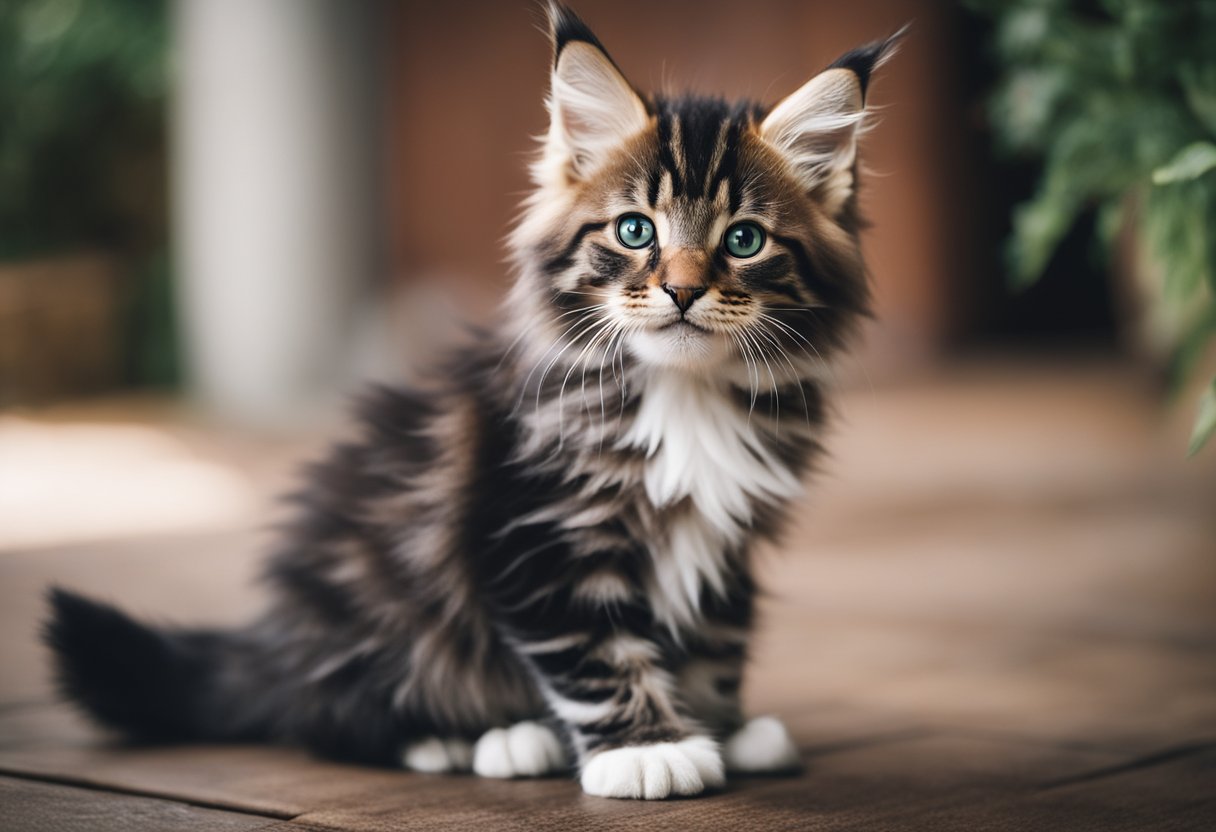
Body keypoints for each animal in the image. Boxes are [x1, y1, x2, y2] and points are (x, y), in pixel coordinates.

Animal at [47, 3, 904, 802]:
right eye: (635, 231)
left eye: (743, 241)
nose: (684, 291)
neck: (681, 393)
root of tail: (278, 645)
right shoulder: (532, 535)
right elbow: (598, 653)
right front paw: (648, 750)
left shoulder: (724, 546)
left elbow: (717, 638)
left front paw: (722, 725)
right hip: (375, 600)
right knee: (325, 719)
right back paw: (475, 738)